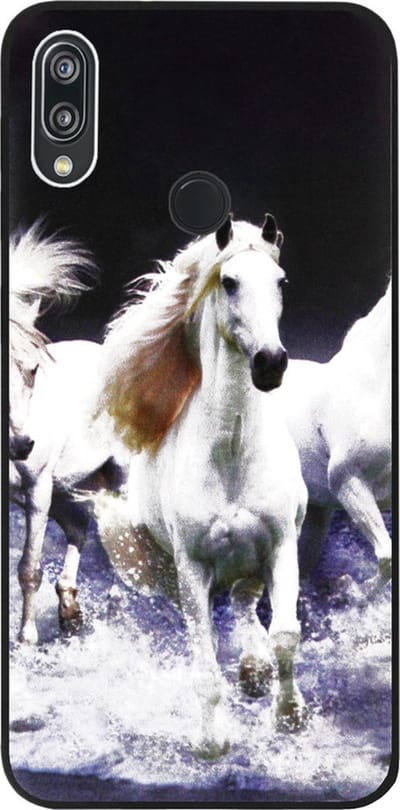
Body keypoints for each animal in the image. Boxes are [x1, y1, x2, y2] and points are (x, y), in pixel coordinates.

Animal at [9, 223, 127, 644]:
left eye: (32, 370)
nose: (21, 446)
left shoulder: (35, 492)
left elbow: (29, 568)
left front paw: (26, 640)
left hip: (115, 479)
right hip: (62, 489)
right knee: (79, 530)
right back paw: (70, 610)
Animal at [100, 214, 308, 756]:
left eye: (281, 282)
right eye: (229, 282)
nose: (270, 363)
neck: (232, 456)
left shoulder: (281, 545)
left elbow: (285, 635)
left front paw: (289, 716)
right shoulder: (191, 567)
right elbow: (205, 661)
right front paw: (213, 740)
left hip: (253, 563)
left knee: (244, 604)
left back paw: (254, 670)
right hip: (171, 573)